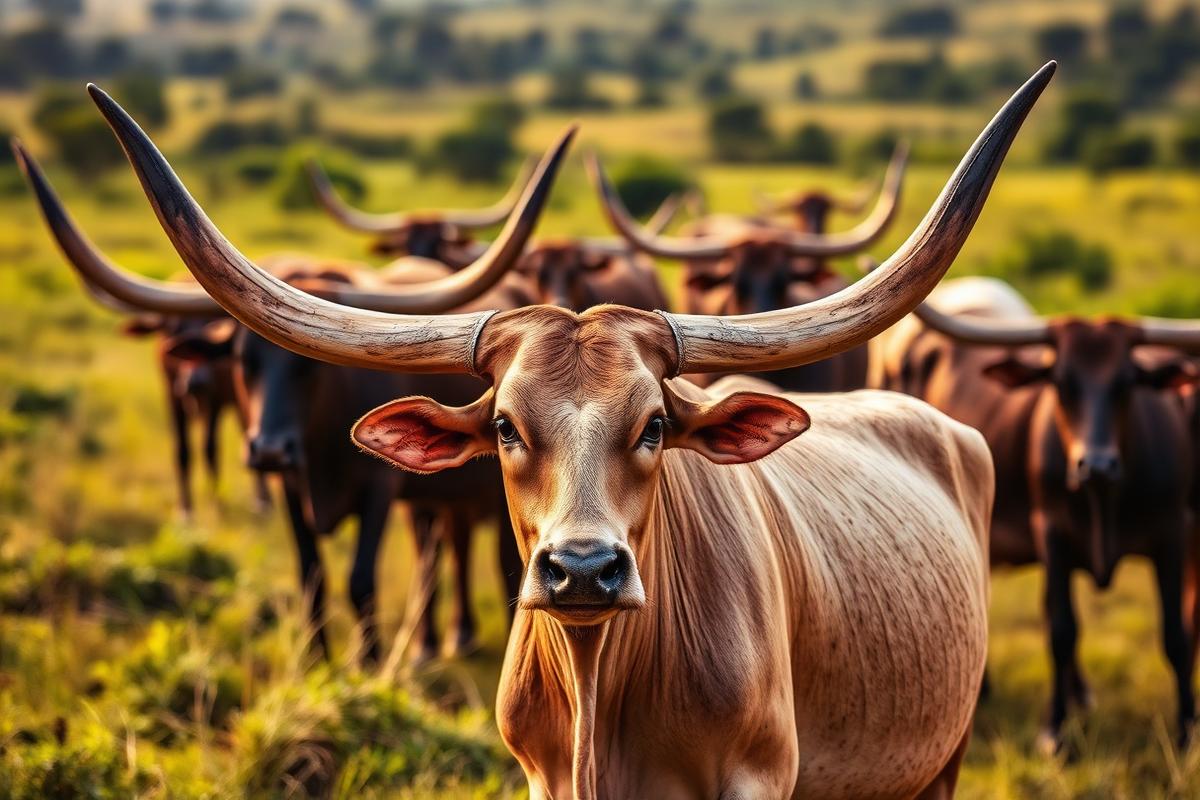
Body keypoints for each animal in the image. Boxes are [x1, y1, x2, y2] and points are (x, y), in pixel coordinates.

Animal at [13, 128, 574, 663]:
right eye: (243, 361)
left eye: (310, 364)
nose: (267, 449)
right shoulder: (292, 487)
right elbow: (312, 578)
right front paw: (318, 662)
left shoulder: (379, 490)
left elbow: (361, 580)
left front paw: (369, 665)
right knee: (438, 550)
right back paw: (432, 643)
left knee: (492, 558)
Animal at [876, 276, 1200, 750]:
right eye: (1060, 381)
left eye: (1127, 382)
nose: (1095, 465)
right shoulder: (1053, 533)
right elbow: (1062, 630)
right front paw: (1055, 731)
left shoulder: (1173, 536)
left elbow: (1176, 635)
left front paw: (1186, 731)